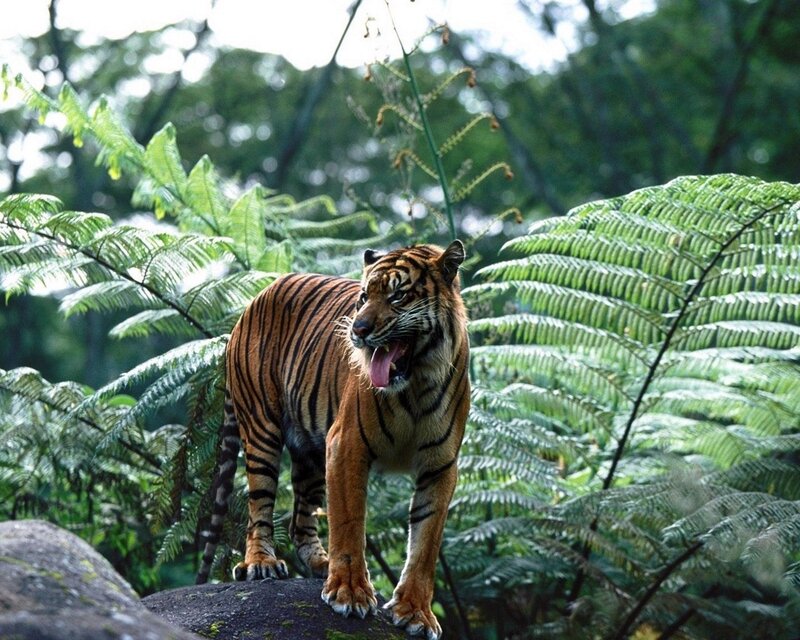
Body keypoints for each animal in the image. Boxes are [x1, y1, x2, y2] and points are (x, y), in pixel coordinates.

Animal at [196, 240, 470, 640]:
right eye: (363, 297)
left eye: (398, 295)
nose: (358, 329)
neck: (416, 384)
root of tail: (256, 297)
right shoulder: (347, 444)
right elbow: (349, 522)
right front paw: (350, 593)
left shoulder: (440, 465)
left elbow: (425, 543)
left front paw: (416, 614)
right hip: (262, 429)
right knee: (258, 506)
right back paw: (261, 563)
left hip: (310, 449)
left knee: (299, 521)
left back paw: (320, 564)